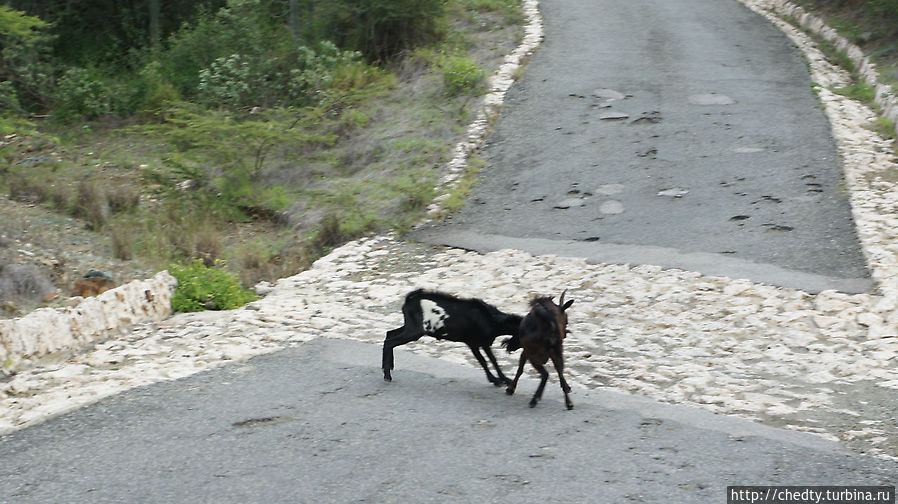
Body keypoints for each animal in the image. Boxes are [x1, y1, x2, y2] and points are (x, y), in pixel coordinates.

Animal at [382, 288, 520, 386]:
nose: (509, 348)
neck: (490, 320)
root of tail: (408, 301)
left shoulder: (484, 342)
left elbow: (493, 360)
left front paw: (505, 379)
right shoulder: (473, 342)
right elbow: (483, 361)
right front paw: (495, 380)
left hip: (410, 326)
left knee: (389, 334)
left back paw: (389, 367)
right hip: (414, 330)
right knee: (390, 341)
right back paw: (387, 375)